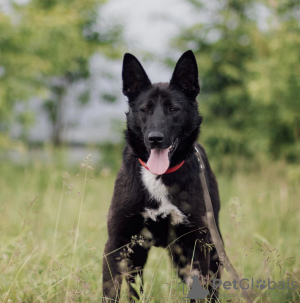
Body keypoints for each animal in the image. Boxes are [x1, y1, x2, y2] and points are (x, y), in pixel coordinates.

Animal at [102, 50, 221, 302]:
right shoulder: (117, 245)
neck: (159, 177)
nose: (155, 138)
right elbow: (111, 292)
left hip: (210, 251)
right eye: (144, 109)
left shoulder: (197, 247)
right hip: (139, 258)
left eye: (173, 109)